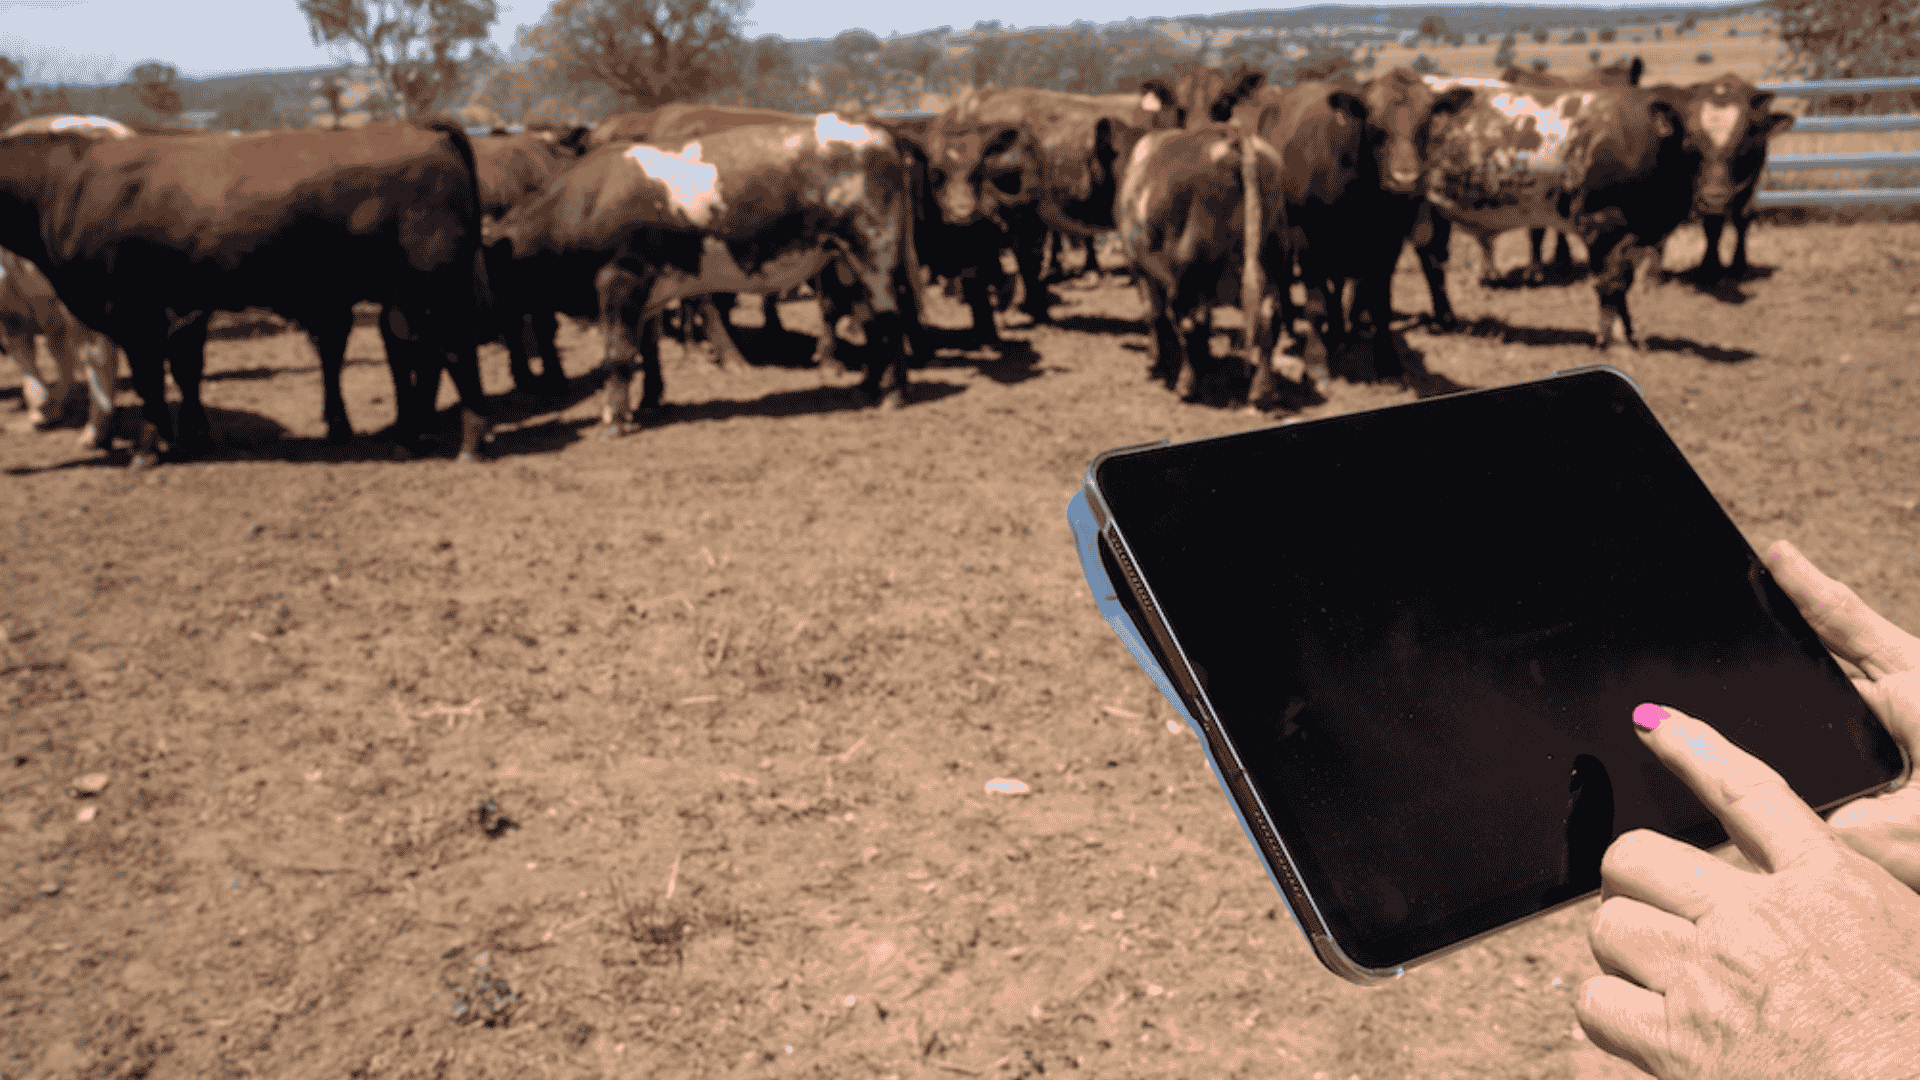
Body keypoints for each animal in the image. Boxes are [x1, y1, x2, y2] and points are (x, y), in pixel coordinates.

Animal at [0, 119, 495, 467]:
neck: (65, 184)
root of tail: (420, 128)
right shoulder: (174, 310)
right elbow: (176, 373)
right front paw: (179, 440)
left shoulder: (134, 312)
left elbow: (149, 383)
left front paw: (147, 450)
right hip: (410, 295)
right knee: (424, 352)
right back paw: (411, 440)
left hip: (436, 284)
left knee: (456, 350)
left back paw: (470, 442)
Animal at [483, 113, 919, 436]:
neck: (586, 202)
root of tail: (878, 130)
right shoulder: (649, 291)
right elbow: (646, 350)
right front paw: (646, 402)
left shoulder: (620, 280)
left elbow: (618, 354)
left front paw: (615, 420)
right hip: (848, 261)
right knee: (870, 320)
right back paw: (868, 386)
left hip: (873, 251)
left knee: (890, 317)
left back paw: (893, 395)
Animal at [1117, 124, 1288, 404]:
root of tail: (1233, 135)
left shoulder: (1140, 269)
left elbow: (1153, 314)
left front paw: (1156, 359)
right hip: (1274, 259)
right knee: (1268, 318)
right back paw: (1263, 390)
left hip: (1186, 275)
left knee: (1187, 322)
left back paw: (1186, 385)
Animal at [1414, 76, 1693, 349]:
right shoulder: (1602, 227)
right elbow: (1611, 285)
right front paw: (1609, 339)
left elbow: (1623, 284)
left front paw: (1628, 335)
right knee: (1431, 260)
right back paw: (1444, 320)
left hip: (1436, 214)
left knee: (1433, 260)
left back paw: (1446, 319)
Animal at [1664, 74, 1795, 281]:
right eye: (1690, 143)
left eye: (1744, 143)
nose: (1715, 195)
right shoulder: (1703, 194)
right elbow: (1712, 224)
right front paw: (1710, 268)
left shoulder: (1750, 182)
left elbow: (1742, 217)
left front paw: (1738, 266)